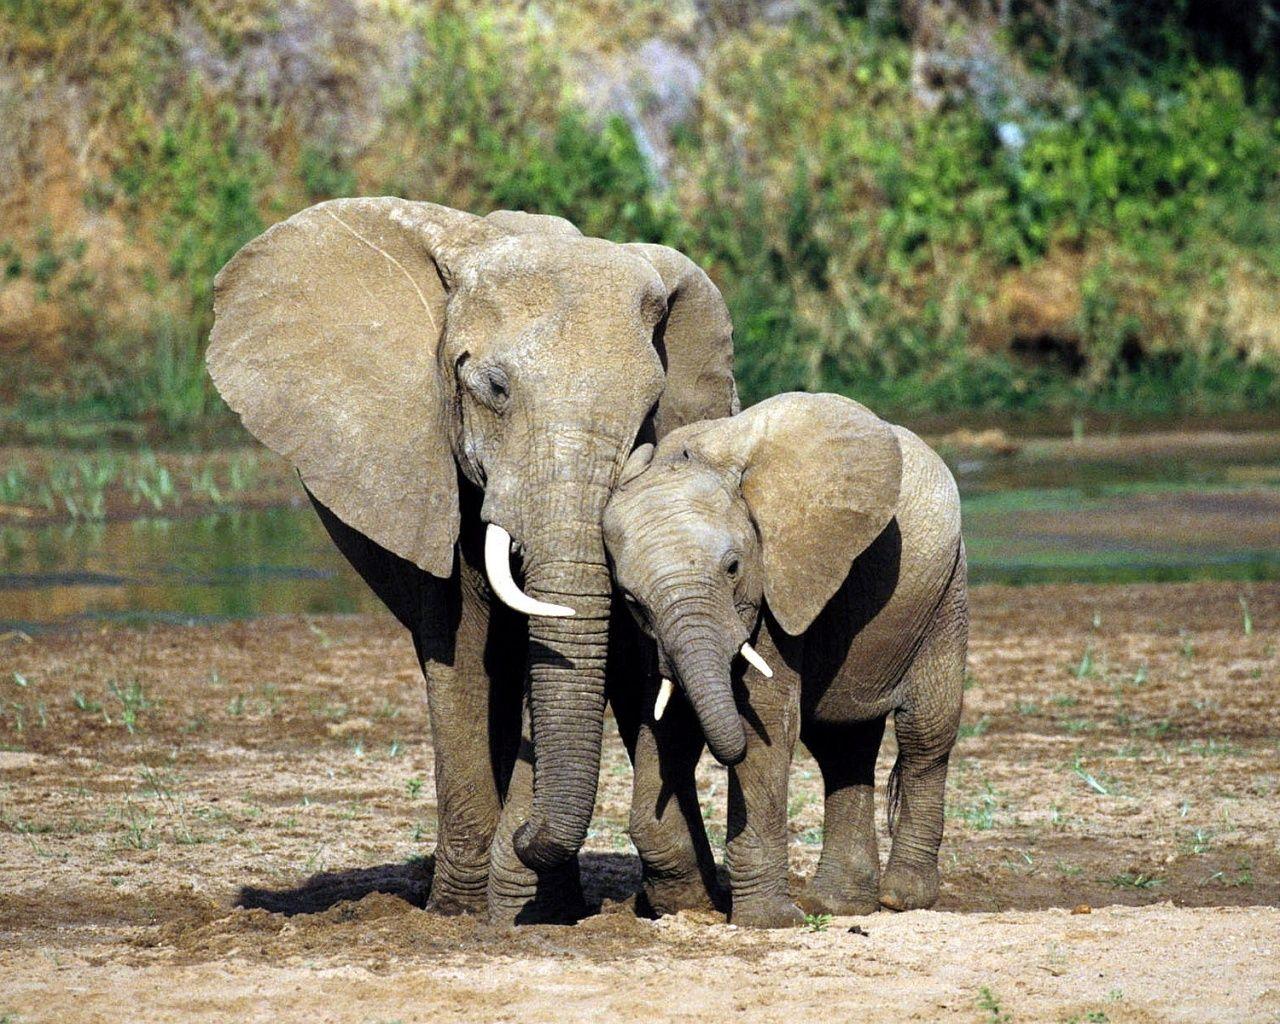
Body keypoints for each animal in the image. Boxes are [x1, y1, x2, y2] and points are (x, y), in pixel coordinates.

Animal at [206, 198, 737, 921]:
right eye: (494, 389)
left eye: (649, 410)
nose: (527, 831)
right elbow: (458, 645)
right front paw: (462, 913)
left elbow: (622, 649)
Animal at [604, 391, 962, 926]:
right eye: (630, 599)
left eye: (733, 568)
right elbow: (666, 722)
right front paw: (683, 906)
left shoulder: (777, 584)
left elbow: (765, 725)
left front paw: (767, 922)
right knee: (842, 746)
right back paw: (838, 905)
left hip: (944, 595)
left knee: (926, 735)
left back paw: (900, 899)